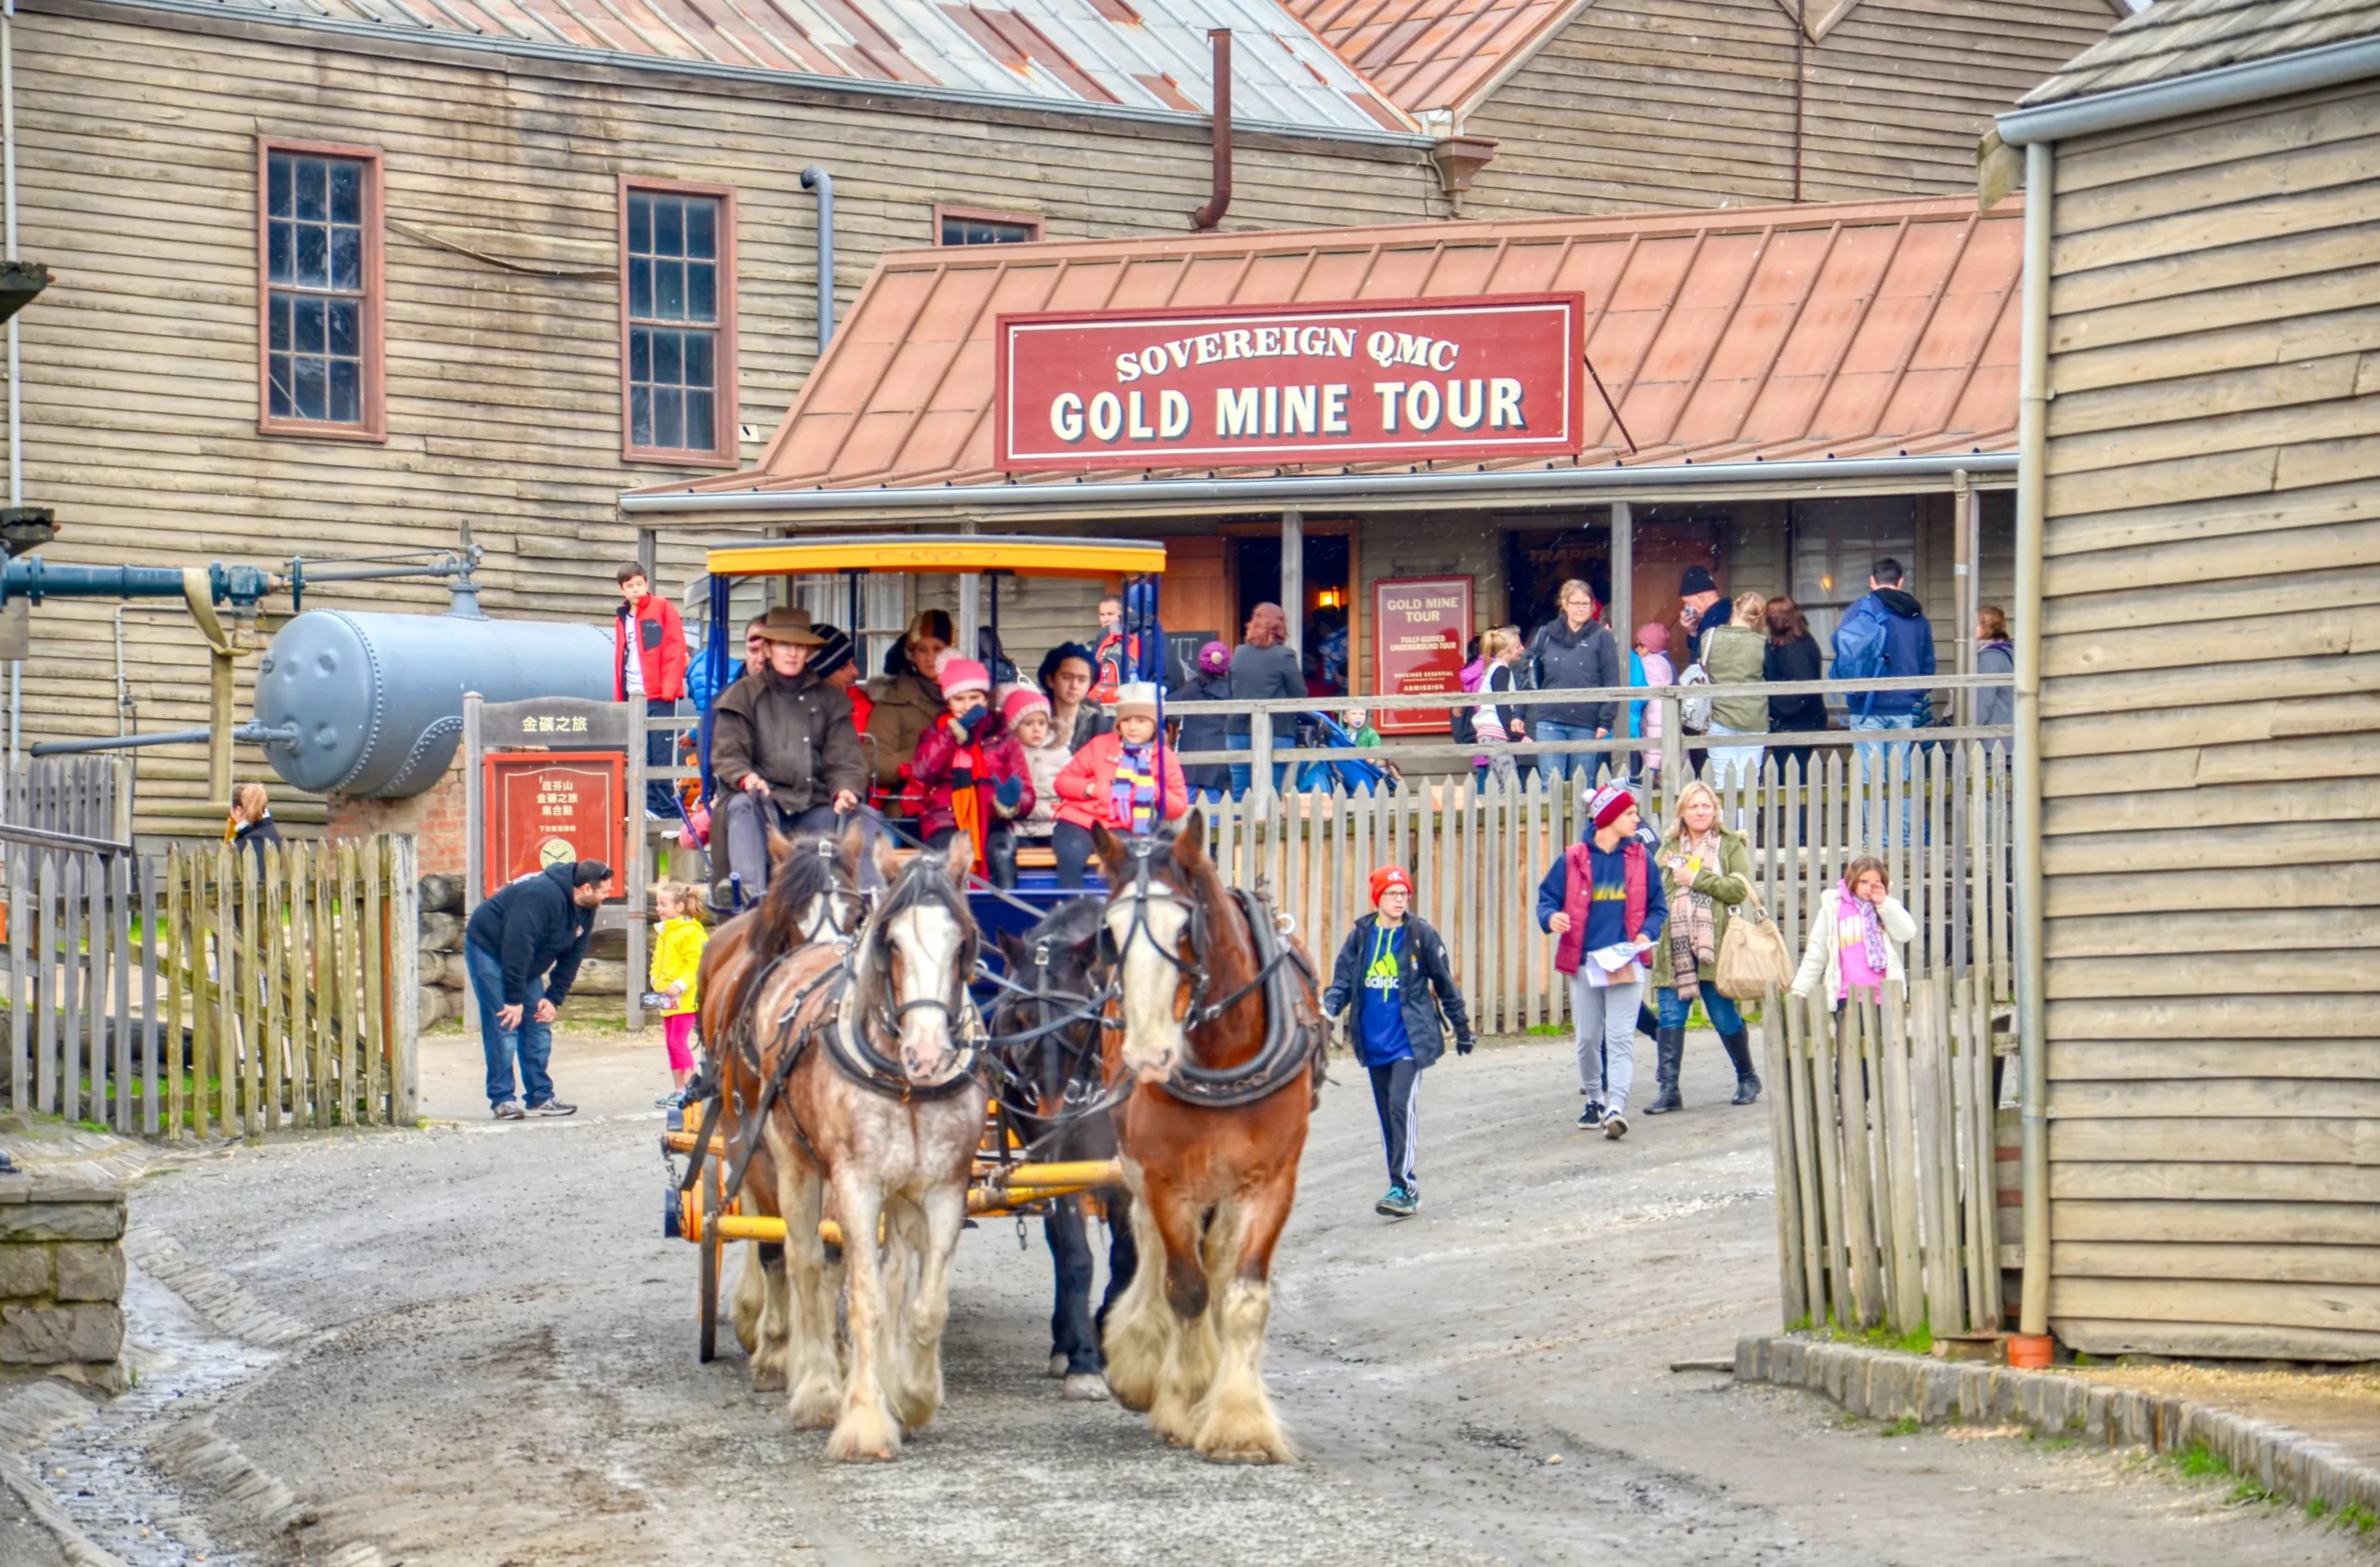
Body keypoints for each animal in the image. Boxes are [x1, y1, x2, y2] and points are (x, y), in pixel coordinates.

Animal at [1090, 809, 1323, 1457]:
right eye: (1109, 931)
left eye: (1184, 928)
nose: (1148, 1056)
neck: (1225, 1057)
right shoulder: (1167, 1180)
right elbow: (1185, 1287)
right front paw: (1186, 1398)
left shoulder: (1273, 1182)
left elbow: (1242, 1295)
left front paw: (1240, 1421)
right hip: (1138, 1163)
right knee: (1149, 1244)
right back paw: (1144, 1360)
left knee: (1216, 1259)